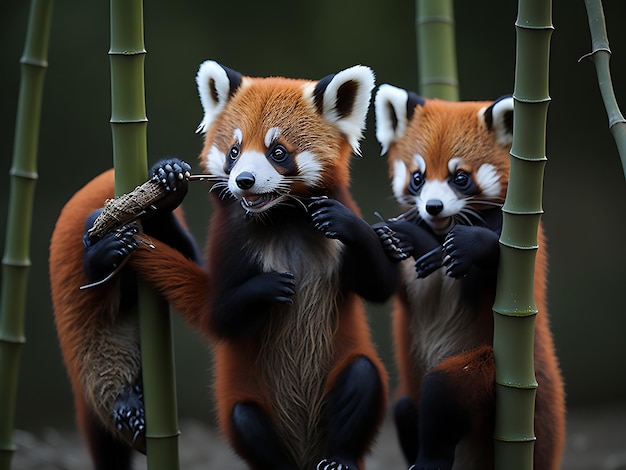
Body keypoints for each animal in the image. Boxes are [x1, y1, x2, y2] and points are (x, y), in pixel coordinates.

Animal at [370, 83, 564, 470]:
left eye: (460, 178)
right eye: (418, 178)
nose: (433, 207)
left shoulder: (523, 236)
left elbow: (506, 259)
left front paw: (468, 244)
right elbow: (382, 280)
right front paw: (409, 239)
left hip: (505, 377)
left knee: (446, 389)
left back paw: (432, 455)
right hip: (412, 397)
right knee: (405, 409)